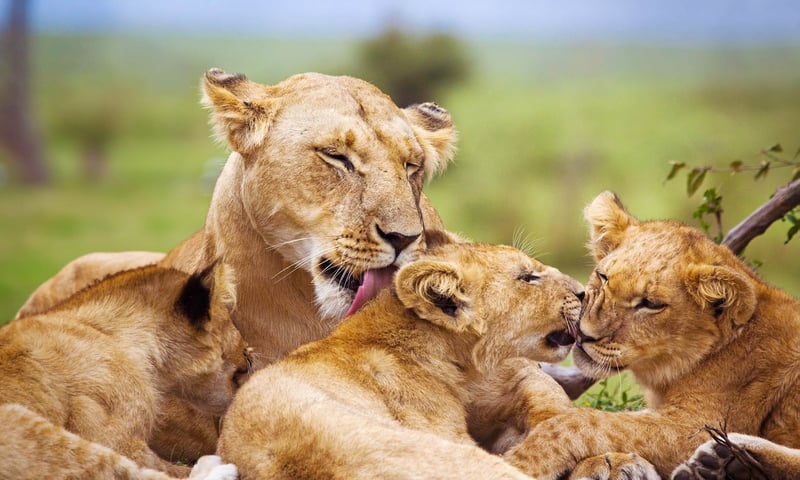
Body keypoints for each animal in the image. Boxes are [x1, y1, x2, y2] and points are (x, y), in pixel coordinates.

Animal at [493, 191, 800, 480]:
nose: (583, 334)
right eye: (603, 277)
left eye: (651, 304)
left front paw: (521, 461)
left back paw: (728, 459)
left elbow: (582, 422)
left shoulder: (698, 424)